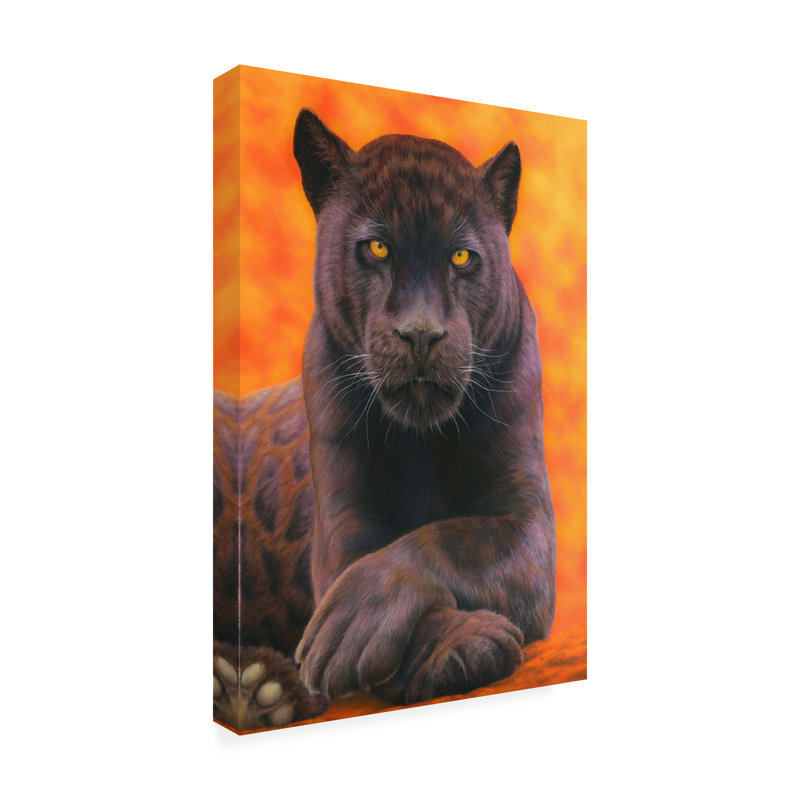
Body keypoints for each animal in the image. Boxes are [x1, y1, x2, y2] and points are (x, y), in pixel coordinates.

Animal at [213, 109, 556, 732]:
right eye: (376, 247)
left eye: (461, 257)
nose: (421, 334)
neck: (423, 443)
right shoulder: (346, 524)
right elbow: (376, 562)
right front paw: (464, 645)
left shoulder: (527, 521)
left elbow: (449, 540)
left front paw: (359, 627)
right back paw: (248, 688)